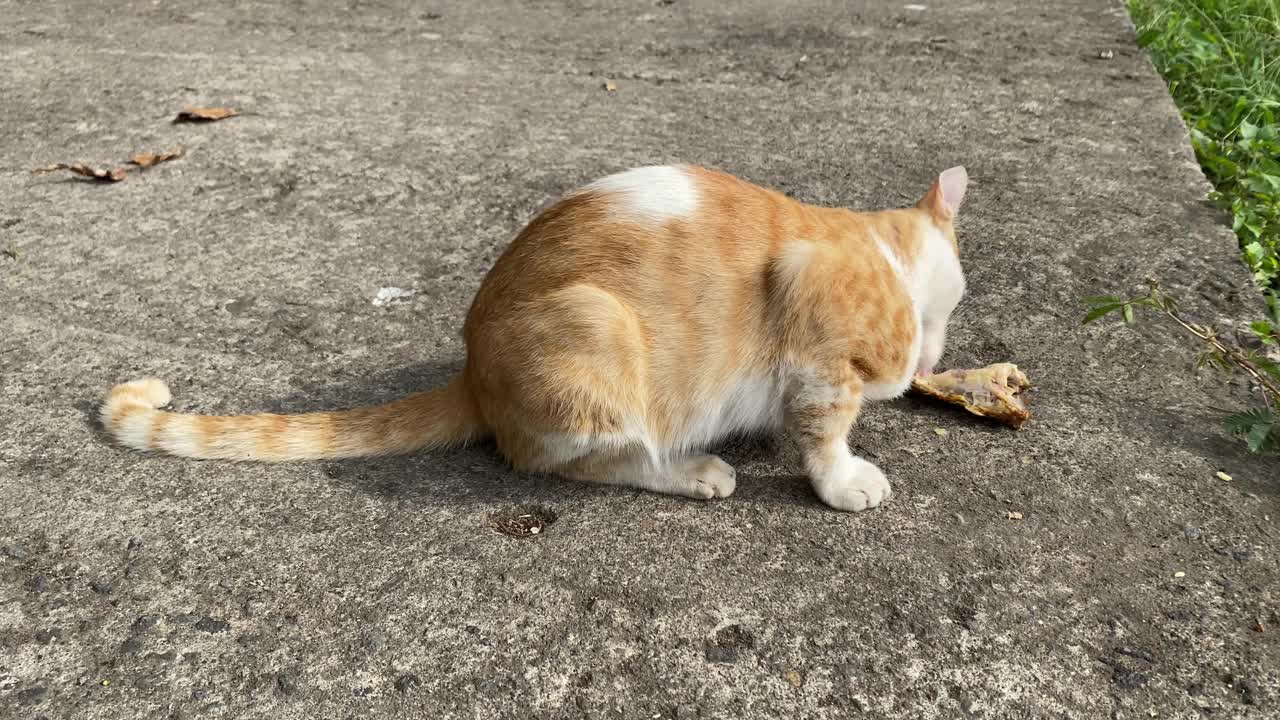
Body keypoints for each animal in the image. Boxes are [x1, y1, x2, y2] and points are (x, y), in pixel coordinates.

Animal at [99, 163, 962, 509]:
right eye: (949, 306)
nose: (934, 358)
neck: (878, 250)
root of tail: (474, 371)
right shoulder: (818, 351)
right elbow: (825, 432)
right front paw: (844, 480)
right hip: (596, 340)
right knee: (580, 461)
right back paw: (690, 471)